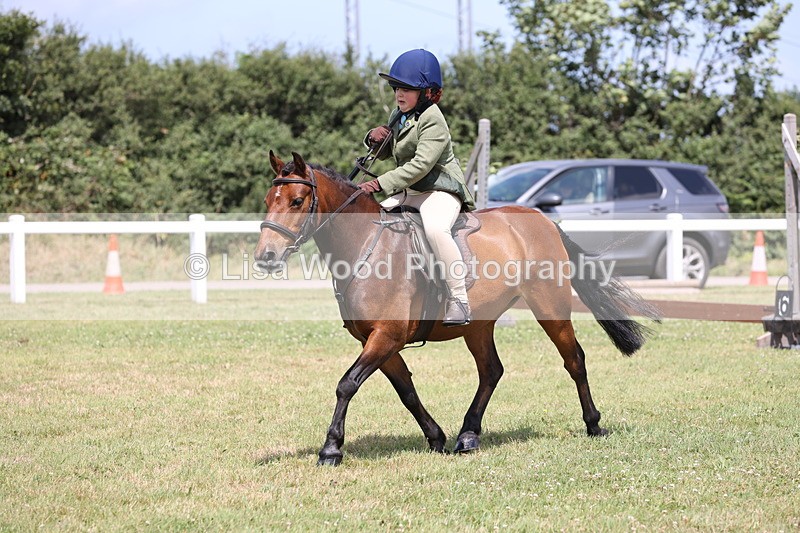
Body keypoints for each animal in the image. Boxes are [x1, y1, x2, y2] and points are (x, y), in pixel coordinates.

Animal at [255, 151, 660, 466]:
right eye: (268, 201)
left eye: (296, 201)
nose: (265, 257)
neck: (367, 243)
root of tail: (542, 219)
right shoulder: (379, 341)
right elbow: (406, 391)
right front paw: (436, 437)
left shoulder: (386, 336)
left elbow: (347, 384)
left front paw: (331, 449)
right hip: (478, 324)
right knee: (491, 371)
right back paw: (468, 435)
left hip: (550, 306)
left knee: (574, 359)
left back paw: (593, 424)